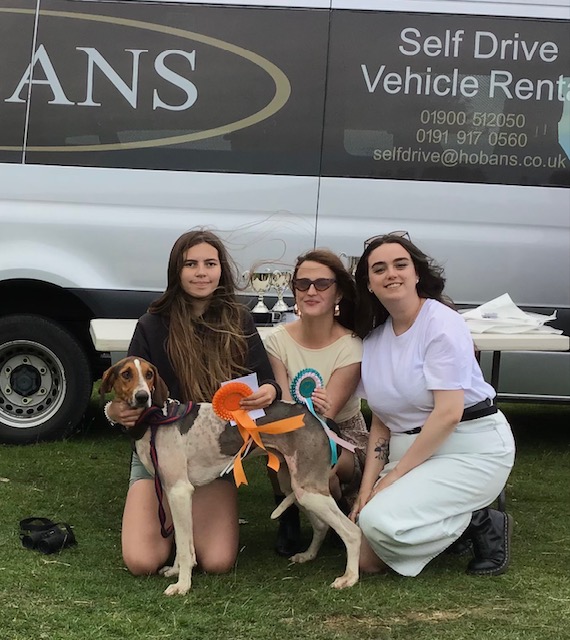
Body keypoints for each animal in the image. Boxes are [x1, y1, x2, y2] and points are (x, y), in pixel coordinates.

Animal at [100, 356, 361, 596]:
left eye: (149, 374)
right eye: (126, 374)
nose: (142, 397)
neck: (156, 419)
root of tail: (317, 418)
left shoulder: (180, 492)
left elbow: (184, 547)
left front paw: (182, 585)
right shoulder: (170, 491)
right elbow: (183, 541)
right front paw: (176, 571)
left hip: (309, 490)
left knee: (352, 532)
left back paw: (349, 578)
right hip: (296, 487)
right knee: (321, 524)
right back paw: (308, 555)